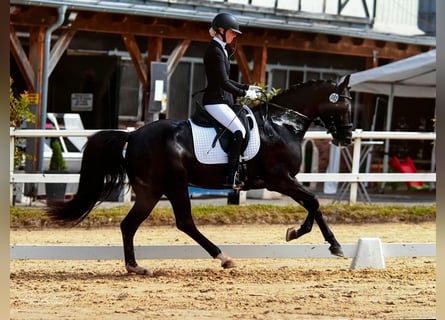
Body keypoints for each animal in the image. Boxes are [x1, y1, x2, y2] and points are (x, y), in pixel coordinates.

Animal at [48, 75, 352, 276]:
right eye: (344, 107)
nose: (347, 138)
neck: (281, 124)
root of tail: (132, 135)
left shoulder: (286, 180)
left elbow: (313, 204)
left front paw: (328, 243)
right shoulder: (279, 179)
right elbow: (313, 201)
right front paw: (304, 235)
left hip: (150, 191)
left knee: (129, 225)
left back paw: (135, 267)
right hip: (175, 185)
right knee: (184, 222)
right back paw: (223, 258)